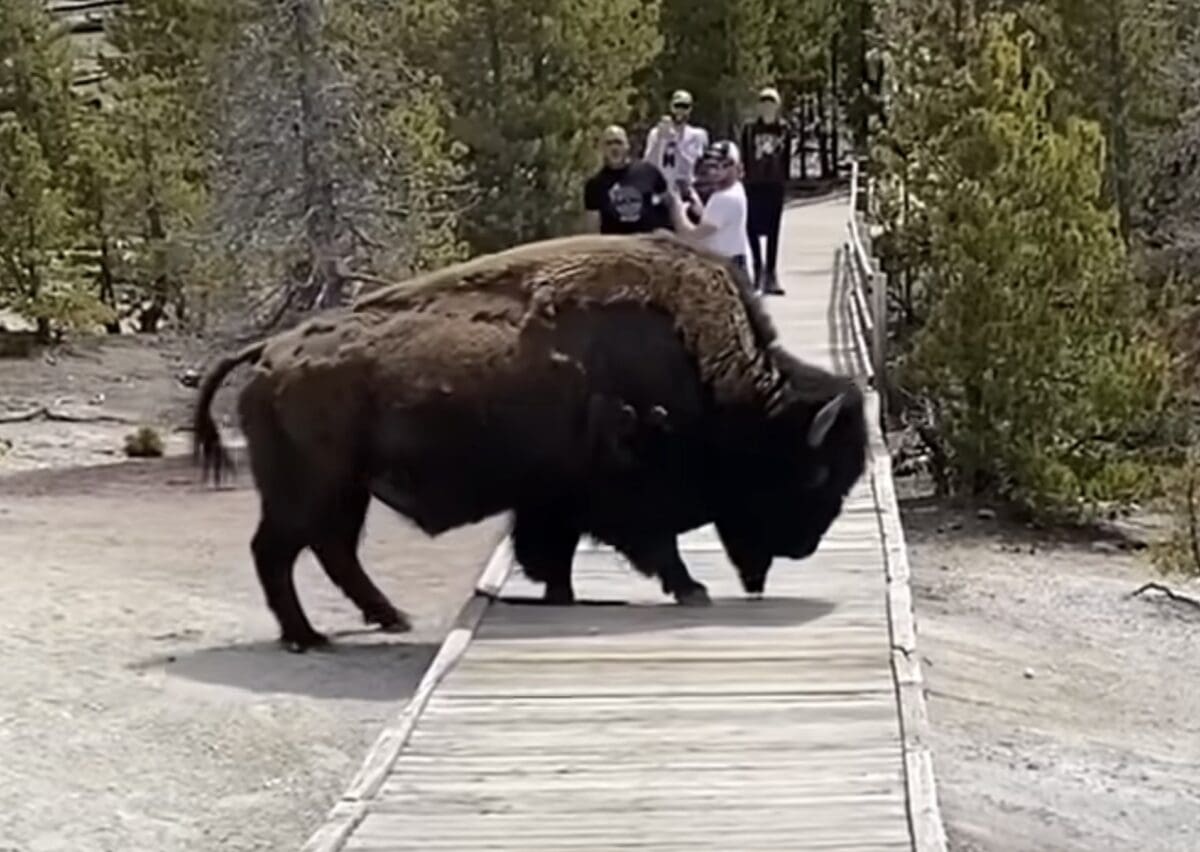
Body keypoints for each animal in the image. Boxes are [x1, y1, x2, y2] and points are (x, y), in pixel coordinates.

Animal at [193, 232, 867, 651]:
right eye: (815, 473)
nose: (804, 547)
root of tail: (271, 352)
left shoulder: (554, 502)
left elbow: (555, 551)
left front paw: (561, 594)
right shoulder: (619, 493)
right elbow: (652, 545)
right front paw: (692, 591)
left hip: (345, 491)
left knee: (332, 551)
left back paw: (389, 618)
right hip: (307, 491)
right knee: (278, 553)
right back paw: (307, 638)